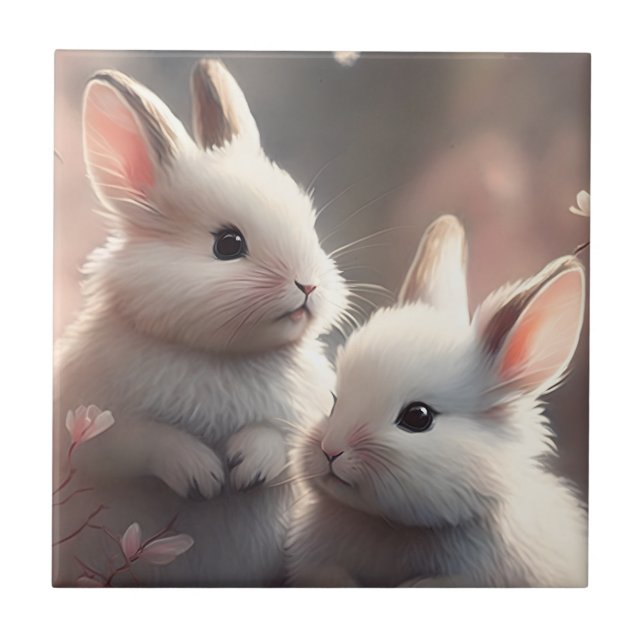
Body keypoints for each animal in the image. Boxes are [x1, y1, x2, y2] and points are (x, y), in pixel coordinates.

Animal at [53, 59, 349, 586]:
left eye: (310, 227)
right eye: (227, 244)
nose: (309, 286)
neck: (223, 356)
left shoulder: (314, 415)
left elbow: (287, 438)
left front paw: (249, 465)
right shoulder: (92, 420)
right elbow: (142, 440)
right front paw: (202, 475)